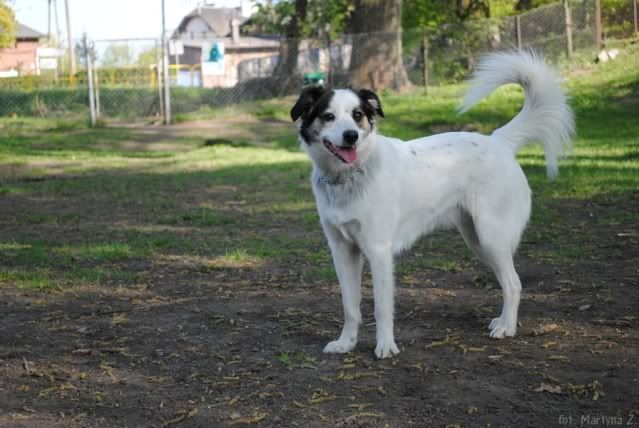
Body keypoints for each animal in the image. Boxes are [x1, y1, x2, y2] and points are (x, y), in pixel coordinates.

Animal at [290, 51, 575, 359]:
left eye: (357, 116)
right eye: (328, 116)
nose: (351, 136)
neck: (348, 177)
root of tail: (498, 140)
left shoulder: (379, 251)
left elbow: (382, 308)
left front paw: (386, 346)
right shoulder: (343, 251)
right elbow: (350, 306)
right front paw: (346, 343)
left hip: (492, 237)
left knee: (513, 283)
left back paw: (506, 328)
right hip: (477, 240)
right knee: (508, 280)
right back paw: (501, 320)